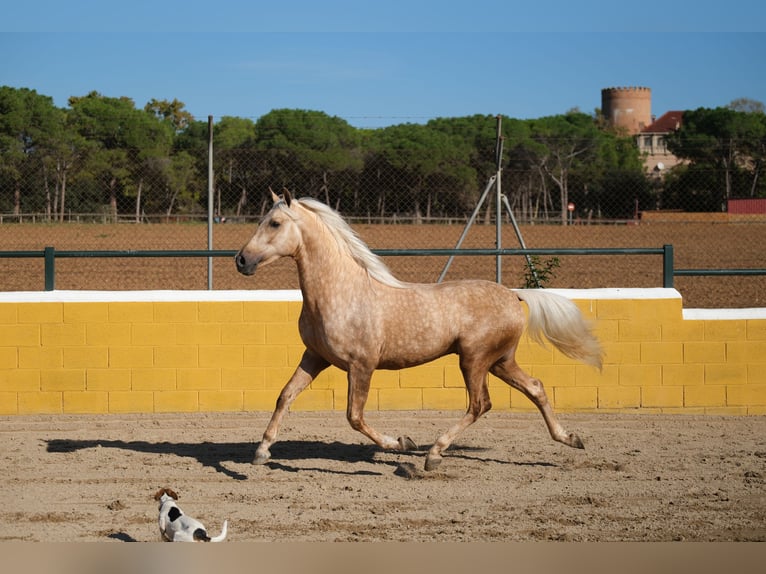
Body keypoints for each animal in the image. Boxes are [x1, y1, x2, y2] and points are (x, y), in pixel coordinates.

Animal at [237, 191, 604, 470]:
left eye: (275, 223)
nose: (241, 260)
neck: (341, 292)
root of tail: (514, 294)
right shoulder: (315, 356)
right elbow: (285, 396)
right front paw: (261, 452)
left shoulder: (361, 365)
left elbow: (354, 416)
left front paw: (402, 442)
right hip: (500, 361)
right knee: (536, 388)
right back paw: (571, 439)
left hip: (474, 359)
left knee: (479, 404)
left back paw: (433, 454)